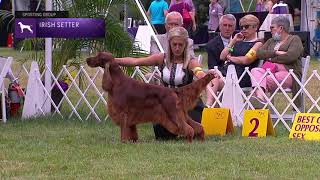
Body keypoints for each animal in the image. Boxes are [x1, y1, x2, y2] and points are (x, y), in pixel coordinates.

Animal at [86, 52, 214, 143]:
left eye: (98, 56)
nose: (87, 60)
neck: (116, 82)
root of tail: (173, 90)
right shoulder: (131, 115)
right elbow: (132, 130)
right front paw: (133, 141)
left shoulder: (123, 113)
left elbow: (124, 129)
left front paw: (123, 142)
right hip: (181, 114)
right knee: (198, 126)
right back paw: (201, 140)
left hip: (173, 113)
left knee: (188, 128)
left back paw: (189, 141)